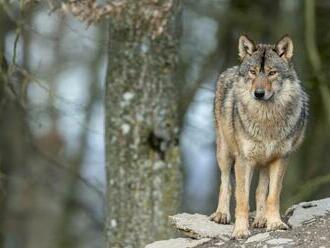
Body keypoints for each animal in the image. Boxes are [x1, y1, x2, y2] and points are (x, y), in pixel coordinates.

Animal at [210, 35, 308, 238]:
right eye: (253, 72)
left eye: (272, 73)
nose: (259, 93)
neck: (266, 120)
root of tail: (231, 69)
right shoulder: (244, 160)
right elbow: (242, 198)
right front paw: (240, 230)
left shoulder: (281, 158)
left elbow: (272, 195)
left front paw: (275, 223)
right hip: (225, 154)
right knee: (226, 183)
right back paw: (222, 214)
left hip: (264, 162)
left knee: (260, 190)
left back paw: (262, 219)